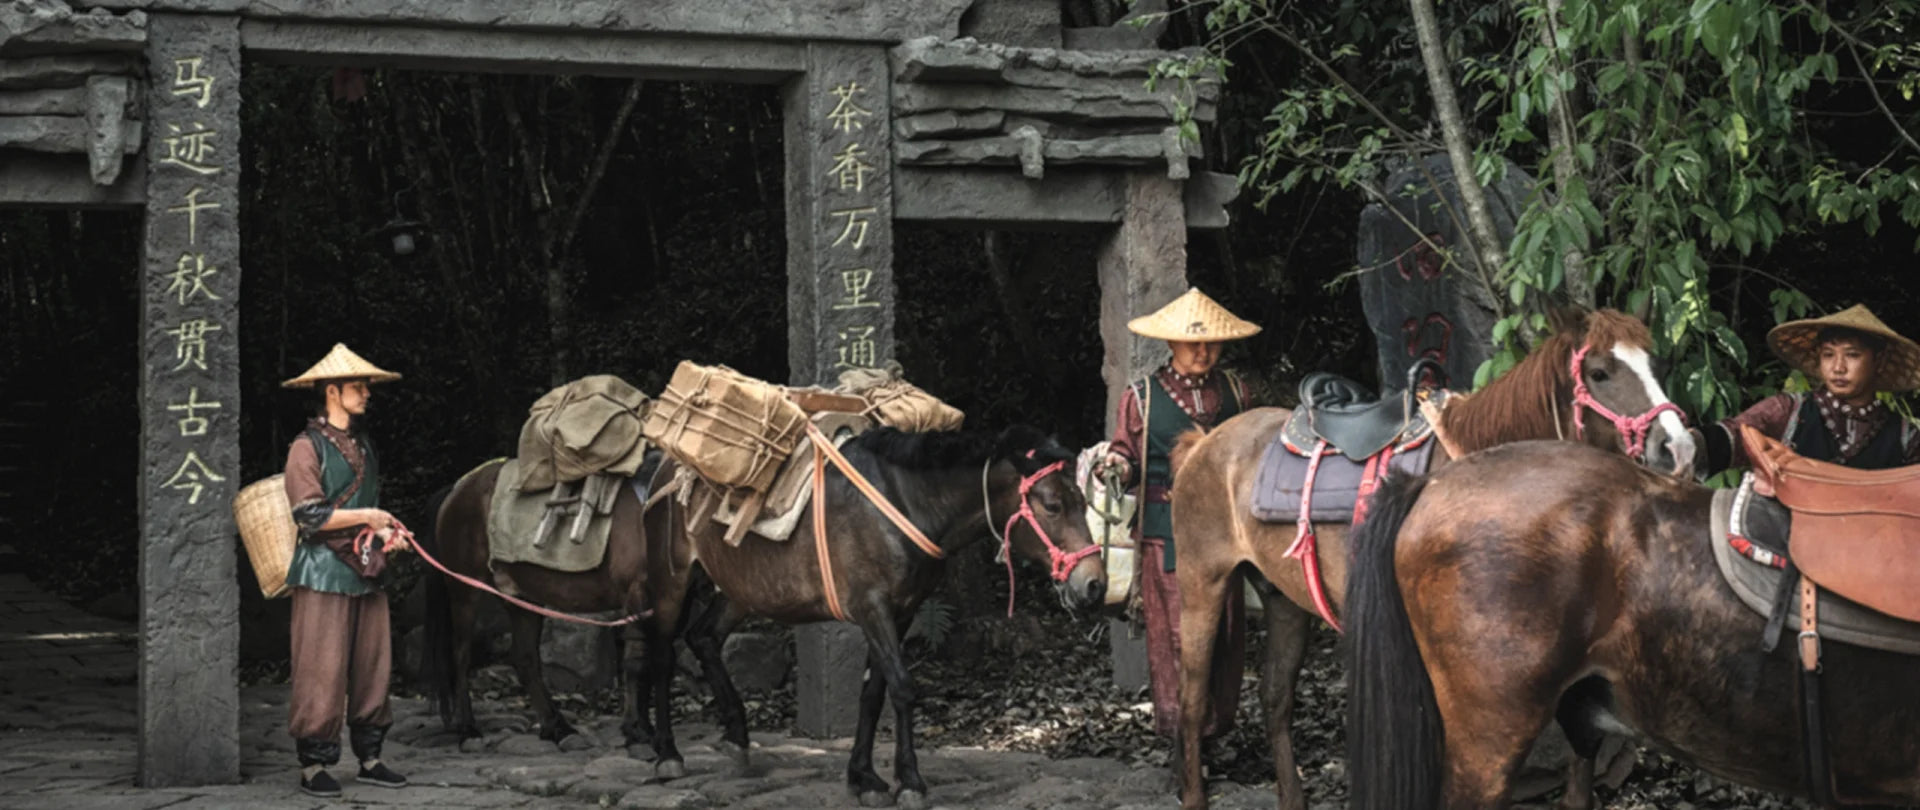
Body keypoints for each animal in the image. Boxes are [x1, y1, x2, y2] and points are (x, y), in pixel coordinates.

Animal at [414, 450, 665, 745]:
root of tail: (456, 489)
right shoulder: (637, 595)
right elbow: (637, 662)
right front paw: (637, 728)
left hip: (520, 596)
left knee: (525, 658)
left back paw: (556, 725)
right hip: (464, 589)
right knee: (461, 653)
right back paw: (468, 726)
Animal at [632, 424, 1108, 810]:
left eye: (1082, 502)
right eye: (1052, 505)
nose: (1094, 584)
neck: (905, 505)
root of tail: (661, 465)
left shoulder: (902, 610)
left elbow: (873, 692)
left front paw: (864, 777)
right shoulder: (872, 606)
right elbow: (902, 687)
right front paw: (910, 781)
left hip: (742, 588)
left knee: (704, 637)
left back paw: (735, 735)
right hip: (672, 579)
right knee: (661, 656)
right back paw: (667, 753)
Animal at [1163, 307, 1696, 810]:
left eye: (1653, 364)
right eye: (1600, 372)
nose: (1680, 447)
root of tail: (1204, 442)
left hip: (1284, 599)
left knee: (1275, 697)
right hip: (1201, 582)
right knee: (1191, 698)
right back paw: (1193, 794)